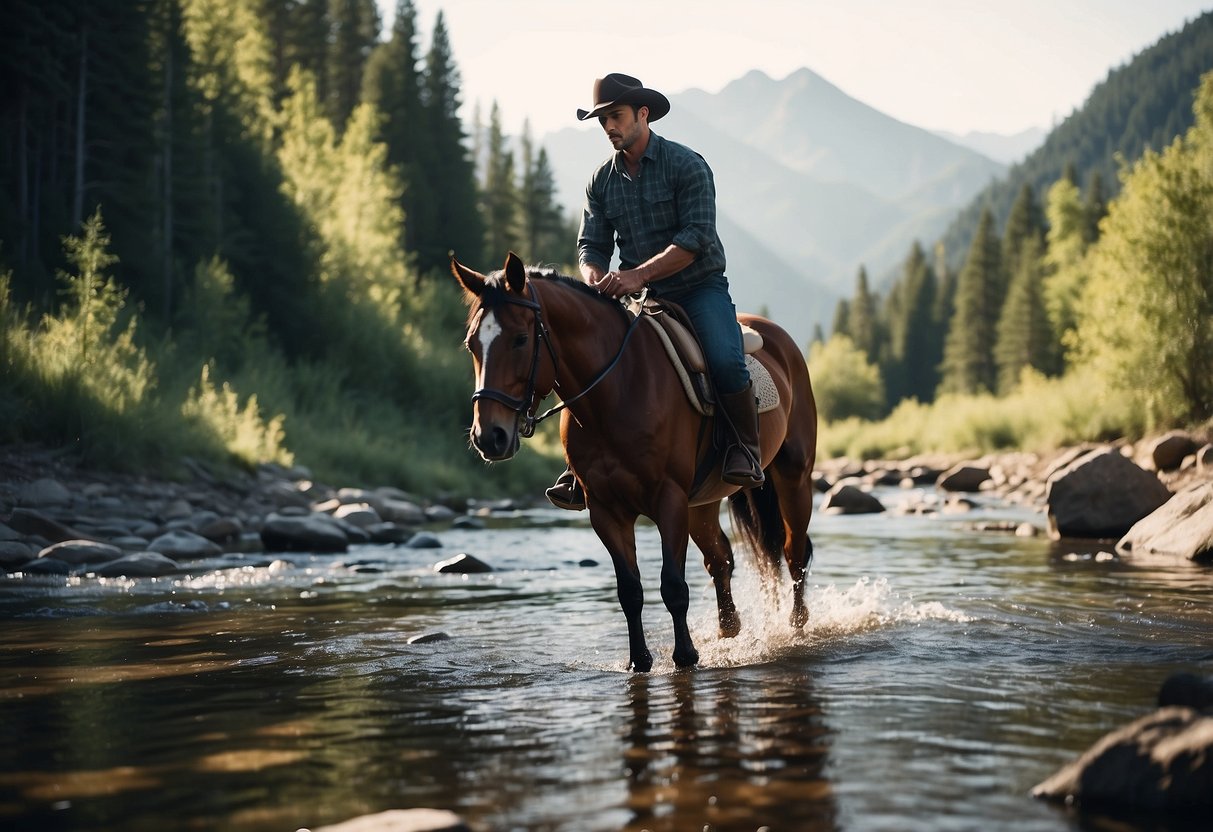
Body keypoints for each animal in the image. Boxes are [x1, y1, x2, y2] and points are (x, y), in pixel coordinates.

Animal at [451, 252, 819, 669]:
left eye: (520, 338)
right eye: (471, 344)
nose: (489, 436)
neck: (616, 392)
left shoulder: (669, 499)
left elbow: (672, 585)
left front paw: (685, 656)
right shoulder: (606, 510)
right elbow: (629, 590)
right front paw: (639, 661)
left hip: (793, 477)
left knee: (793, 551)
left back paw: (796, 625)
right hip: (702, 503)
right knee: (721, 558)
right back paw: (730, 627)